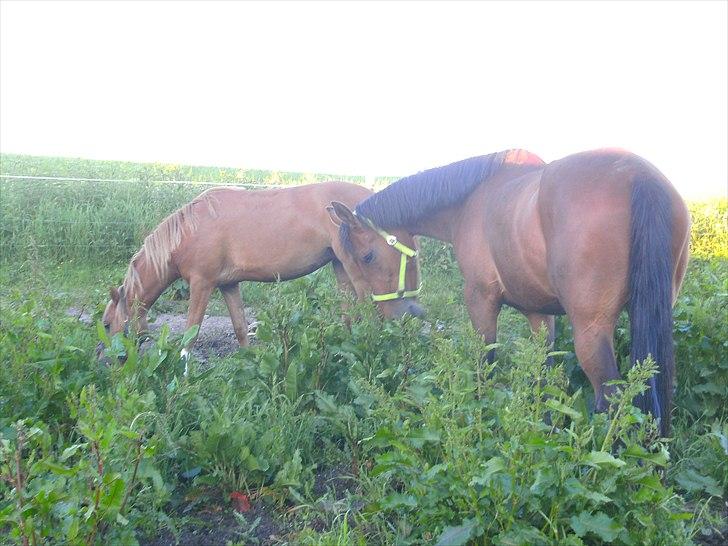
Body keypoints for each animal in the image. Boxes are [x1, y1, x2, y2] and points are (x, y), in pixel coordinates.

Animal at [99, 181, 424, 354]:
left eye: (106, 324)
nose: (111, 360)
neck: (192, 228)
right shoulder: (228, 285)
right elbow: (240, 328)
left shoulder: (202, 284)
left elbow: (191, 333)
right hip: (340, 267)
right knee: (349, 315)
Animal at [336, 149, 688, 434]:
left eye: (367, 257)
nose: (396, 316)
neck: (471, 199)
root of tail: (637, 175)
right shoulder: (539, 313)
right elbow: (541, 374)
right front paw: (542, 425)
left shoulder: (480, 298)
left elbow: (485, 362)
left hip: (591, 330)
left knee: (613, 402)